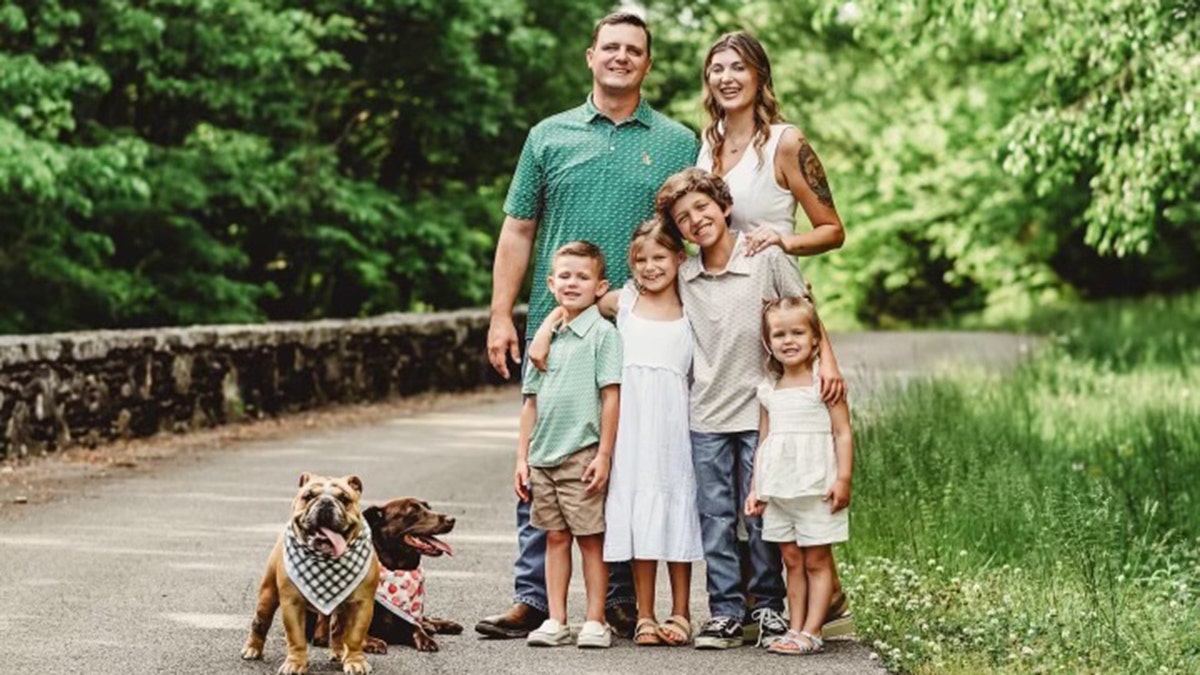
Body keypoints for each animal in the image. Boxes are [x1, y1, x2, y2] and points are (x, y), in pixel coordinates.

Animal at [241, 473, 376, 672]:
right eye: (308, 496)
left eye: (344, 499)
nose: (326, 502)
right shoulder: (292, 604)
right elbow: (296, 638)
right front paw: (295, 664)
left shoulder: (362, 604)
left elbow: (354, 636)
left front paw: (355, 661)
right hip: (267, 596)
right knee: (260, 622)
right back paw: (252, 649)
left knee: (338, 629)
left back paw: (338, 653)